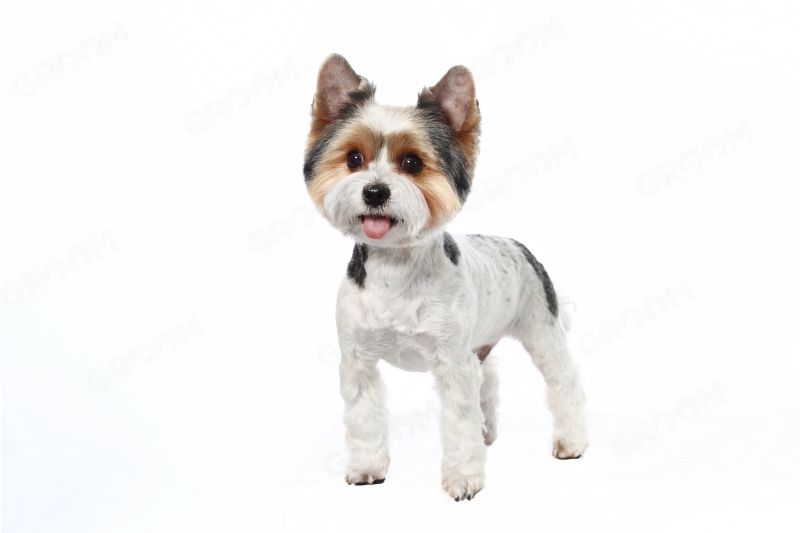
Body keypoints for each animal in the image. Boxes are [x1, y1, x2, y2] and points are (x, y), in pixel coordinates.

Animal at [303, 54, 588, 501]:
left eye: (412, 163)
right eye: (353, 159)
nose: (375, 191)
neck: (396, 268)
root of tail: (520, 245)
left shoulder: (452, 361)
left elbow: (458, 421)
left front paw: (464, 478)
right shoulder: (358, 359)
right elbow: (365, 417)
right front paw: (367, 468)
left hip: (542, 330)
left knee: (564, 382)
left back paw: (571, 441)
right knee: (488, 376)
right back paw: (488, 431)